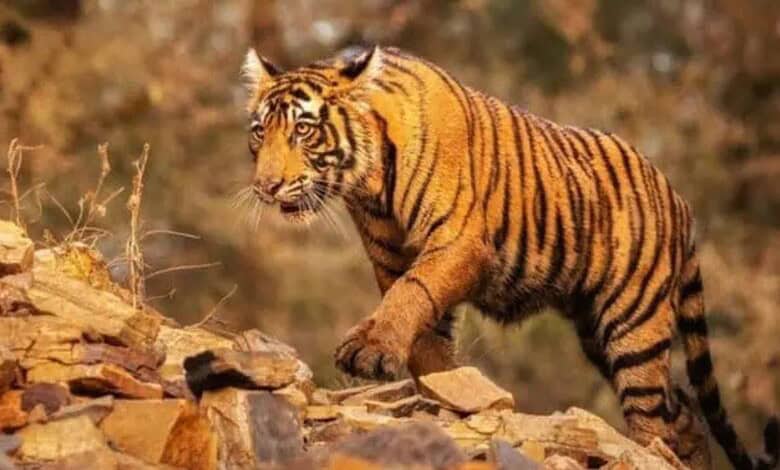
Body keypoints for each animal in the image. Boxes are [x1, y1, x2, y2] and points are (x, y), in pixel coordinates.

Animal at [240, 45, 779, 470]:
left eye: (304, 130)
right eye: (259, 132)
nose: (266, 186)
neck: (369, 184)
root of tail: (680, 200)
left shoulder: (457, 241)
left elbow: (412, 293)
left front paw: (371, 351)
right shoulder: (390, 257)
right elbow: (424, 331)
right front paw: (445, 388)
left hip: (633, 324)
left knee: (654, 420)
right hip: (597, 330)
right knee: (683, 411)